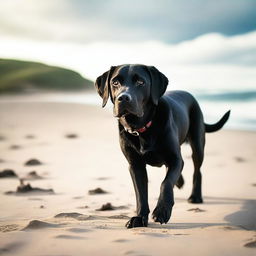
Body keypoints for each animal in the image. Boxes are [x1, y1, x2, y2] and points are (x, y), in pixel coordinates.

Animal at [94, 64, 230, 228]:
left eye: (140, 82)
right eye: (115, 82)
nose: (123, 98)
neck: (142, 129)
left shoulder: (175, 159)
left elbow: (166, 183)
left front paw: (162, 211)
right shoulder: (135, 165)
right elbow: (141, 194)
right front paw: (139, 218)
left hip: (198, 144)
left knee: (197, 171)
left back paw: (195, 196)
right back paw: (180, 182)